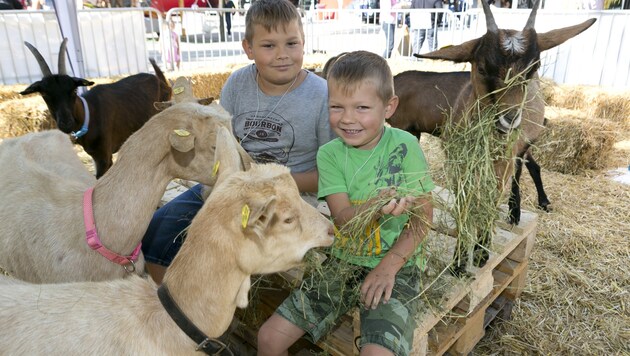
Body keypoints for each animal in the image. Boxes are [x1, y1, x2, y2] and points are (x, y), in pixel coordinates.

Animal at [20, 38, 173, 178]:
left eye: (74, 90)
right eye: (44, 94)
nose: (66, 123)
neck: (89, 114)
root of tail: (161, 81)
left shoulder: (104, 157)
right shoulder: (96, 156)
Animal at [414, 0, 596, 274]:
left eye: (533, 68)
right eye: (481, 67)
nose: (509, 120)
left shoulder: (502, 163)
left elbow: (491, 199)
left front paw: (480, 252)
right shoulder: (459, 165)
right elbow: (463, 203)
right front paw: (458, 260)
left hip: (520, 148)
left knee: (524, 168)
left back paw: (521, 209)